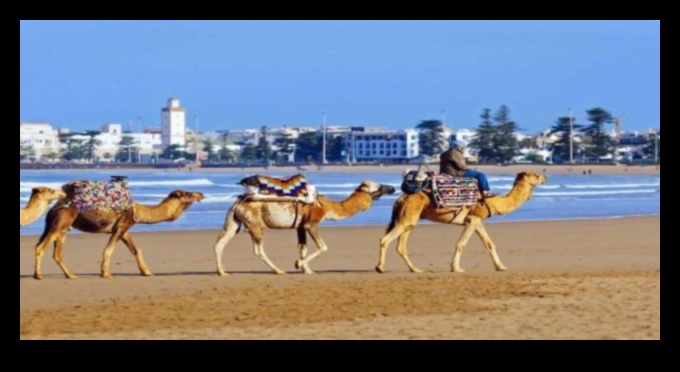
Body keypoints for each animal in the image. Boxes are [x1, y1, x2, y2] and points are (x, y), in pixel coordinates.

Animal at [33, 189, 205, 280]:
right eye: (188, 194)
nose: (201, 194)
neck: (138, 210)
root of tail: (52, 209)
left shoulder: (123, 229)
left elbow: (136, 250)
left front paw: (147, 272)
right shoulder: (122, 225)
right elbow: (109, 250)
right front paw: (106, 273)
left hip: (60, 227)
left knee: (56, 253)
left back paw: (71, 275)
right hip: (60, 223)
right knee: (41, 247)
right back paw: (38, 275)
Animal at [212, 180, 394, 276]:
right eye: (378, 186)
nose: (392, 187)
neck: (327, 207)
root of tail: (238, 202)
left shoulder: (299, 226)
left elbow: (302, 247)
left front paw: (307, 269)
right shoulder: (311, 223)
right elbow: (323, 246)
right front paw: (298, 264)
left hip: (234, 222)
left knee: (219, 243)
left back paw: (222, 272)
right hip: (256, 225)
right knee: (258, 249)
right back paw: (279, 270)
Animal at [378, 171, 548, 274]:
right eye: (536, 175)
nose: (545, 177)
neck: (493, 202)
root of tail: (400, 198)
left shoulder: (478, 220)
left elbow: (489, 244)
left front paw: (501, 267)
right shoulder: (473, 219)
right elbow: (461, 243)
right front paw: (456, 268)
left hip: (410, 219)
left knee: (401, 245)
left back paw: (416, 269)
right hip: (407, 217)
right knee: (385, 239)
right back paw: (380, 268)